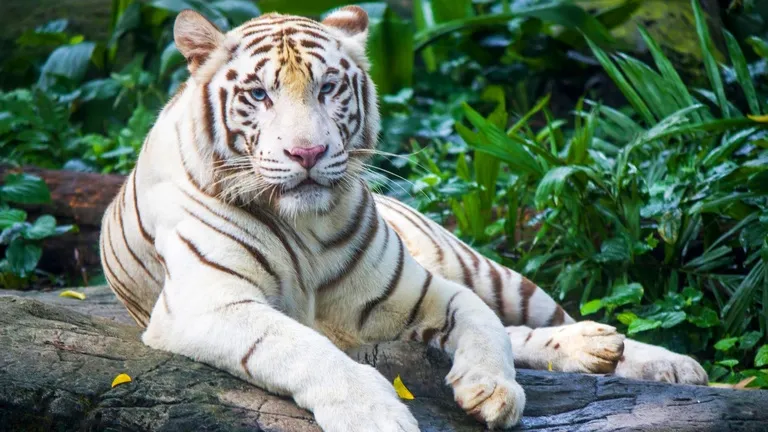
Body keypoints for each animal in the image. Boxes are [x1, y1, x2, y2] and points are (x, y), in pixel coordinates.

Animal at [98, 6, 708, 431]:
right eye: (258, 95)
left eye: (327, 87)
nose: (307, 153)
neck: (304, 227)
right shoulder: (208, 305)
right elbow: (302, 348)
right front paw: (373, 414)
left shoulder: (421, 288)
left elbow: (485, 324)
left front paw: (492, 389)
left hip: (487, 270)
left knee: (531, 316)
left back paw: (657, 360)